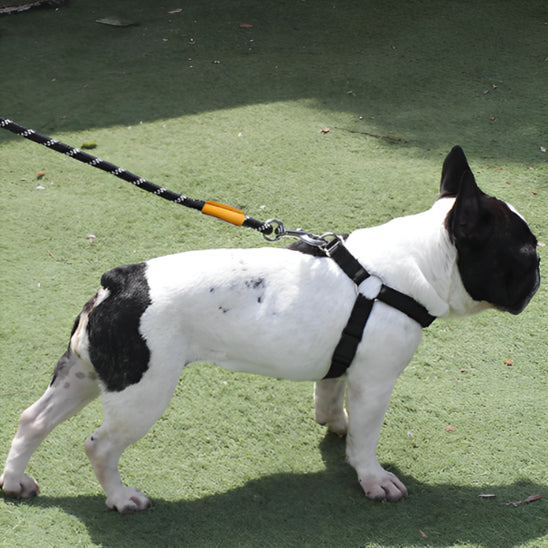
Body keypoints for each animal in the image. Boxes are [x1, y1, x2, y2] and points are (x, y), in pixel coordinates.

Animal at [0, 147, 540, 512]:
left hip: (86, 374)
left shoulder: (343, 365)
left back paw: (15, 482)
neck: (412, 266)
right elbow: (367, 438)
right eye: (525, 251)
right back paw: (120, 496)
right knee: (100, 445)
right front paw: (372, 477)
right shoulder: (376, 381)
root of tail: (121, 281)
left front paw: (335, 426)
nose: (539, 273)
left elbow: (330, 397)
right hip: (142, 393)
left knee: (33, 420)